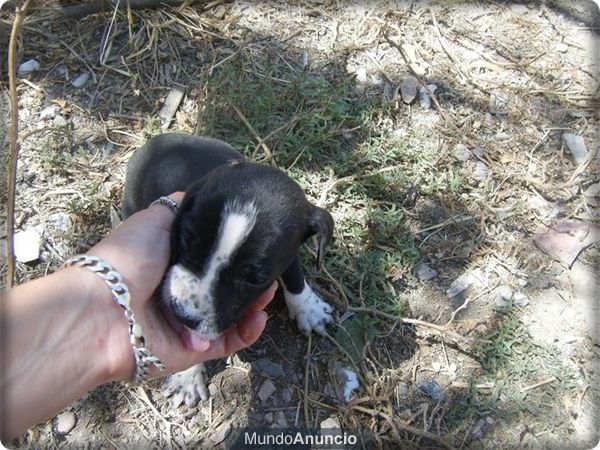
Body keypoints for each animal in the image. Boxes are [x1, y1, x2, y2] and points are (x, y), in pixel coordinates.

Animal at [122, 132, 336, 406]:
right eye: (185, 238)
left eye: (255, 278)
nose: (182, 315)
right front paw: (186, 377)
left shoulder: (287, 254)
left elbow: (294, 275)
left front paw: (308, 309)